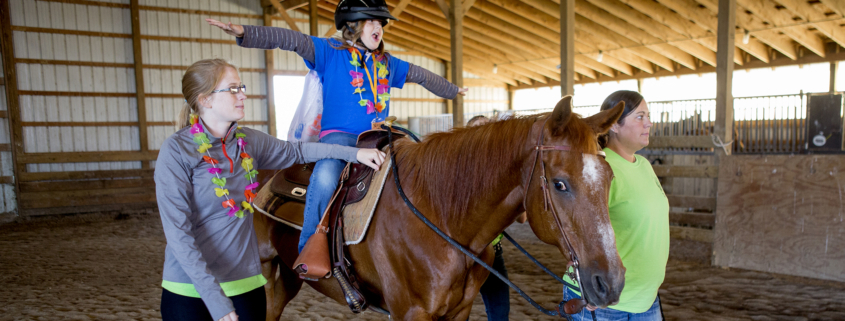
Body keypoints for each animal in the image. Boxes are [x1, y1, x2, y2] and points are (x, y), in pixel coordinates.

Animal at [252, 96, 628, 318]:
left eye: (611, 177)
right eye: (560, 184)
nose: (610, 283)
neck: (440, 217)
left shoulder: (460, 309)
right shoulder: (411, 312)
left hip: (286, 280)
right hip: (266, 280)